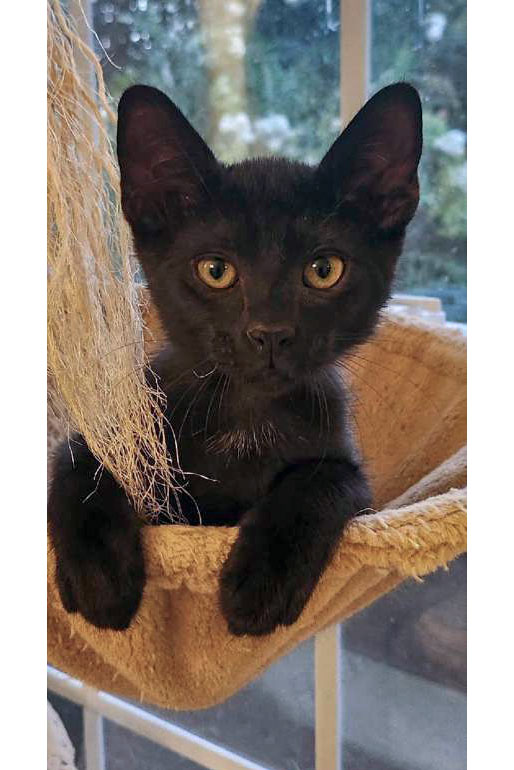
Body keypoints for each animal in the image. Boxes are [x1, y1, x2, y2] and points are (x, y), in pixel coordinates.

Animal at [47, 81, 420, 632]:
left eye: (324, 270)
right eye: (216, 270)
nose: (270, 332)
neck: (245, 419)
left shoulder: (348, 468)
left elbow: (324, 478)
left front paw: (265, 579)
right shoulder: (129, 429)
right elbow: (80, 463)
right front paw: (100, 577)